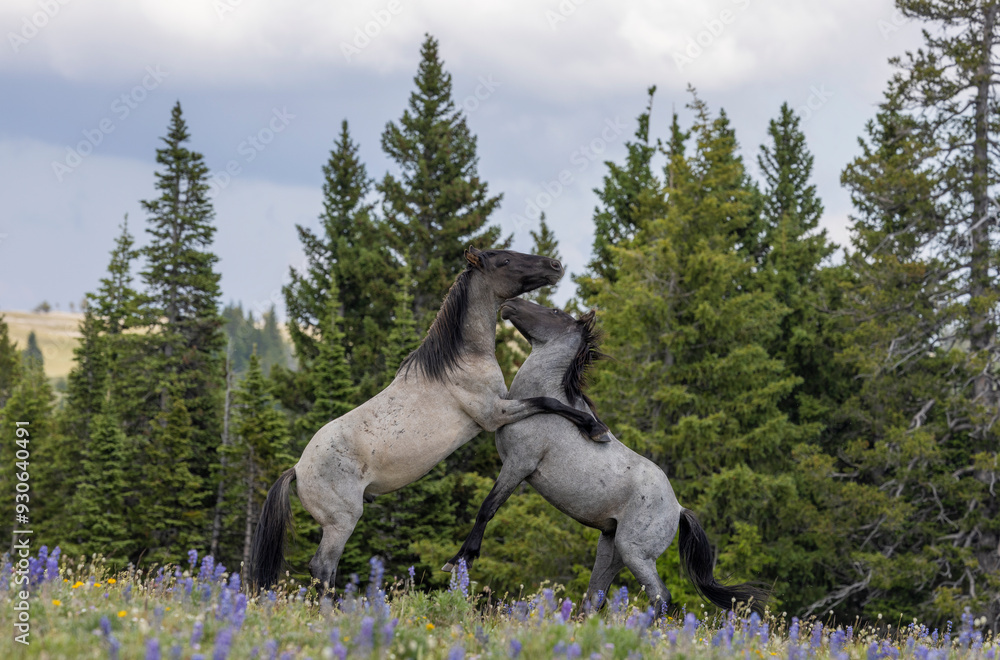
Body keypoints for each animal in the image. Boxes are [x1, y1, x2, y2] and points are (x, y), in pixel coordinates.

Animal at [249, 249, 608, 592]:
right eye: (505, 260)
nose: (555, 265)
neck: (459, 360)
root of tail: (297, 470)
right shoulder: (494, 413)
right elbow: (547, 401)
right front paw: (596, 429)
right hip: (341, 523)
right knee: (322, 569)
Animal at [444, 298, 764, 612]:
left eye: (555, 311)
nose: (509, 304)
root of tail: (678, 509)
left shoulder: (519, 464)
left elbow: (488, 508)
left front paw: (460, 560)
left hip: (634, 553)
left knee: (660, 596)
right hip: (610, 550)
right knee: (594, 597)